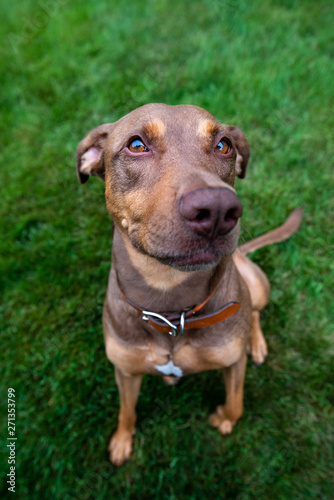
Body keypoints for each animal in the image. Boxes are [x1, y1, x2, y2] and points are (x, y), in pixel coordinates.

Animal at [75, 103, 302, 466]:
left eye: (224, 145)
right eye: (136, 145)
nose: (218, 210)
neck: (170, 303)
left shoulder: (232, 362)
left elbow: (236, 404)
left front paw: (223, 418)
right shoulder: (125, 371)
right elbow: (126, 411)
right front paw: (122, 441)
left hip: (256, 284)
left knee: (253, 311)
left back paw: (256, 343)